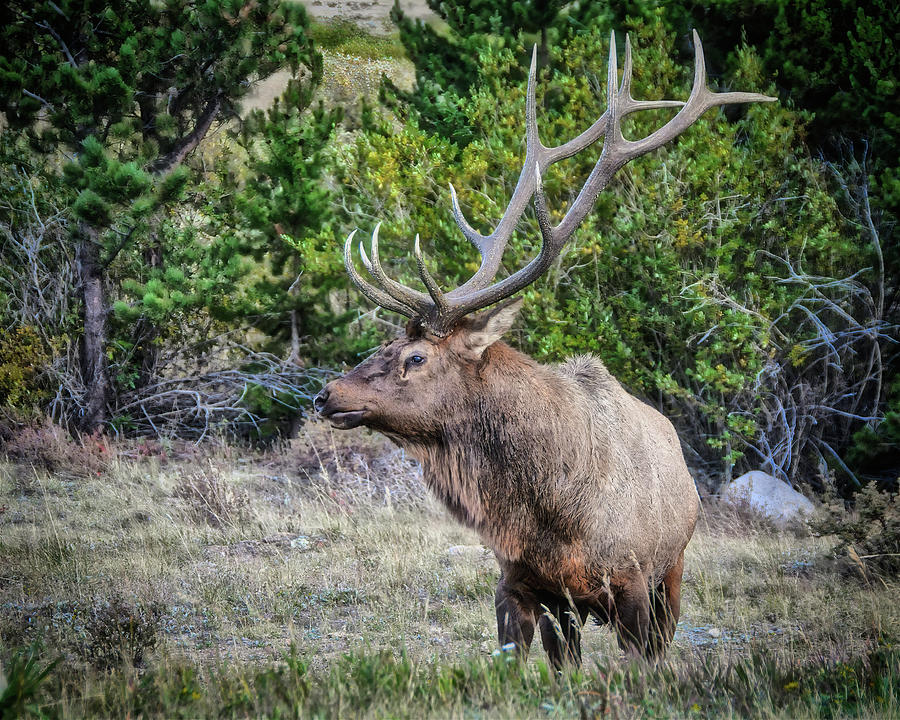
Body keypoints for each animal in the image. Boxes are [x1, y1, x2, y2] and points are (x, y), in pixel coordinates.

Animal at [314, 31, 772, 668]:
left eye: (416, 357)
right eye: (386, 343)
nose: (327, 393)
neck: (555, 514)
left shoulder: (632, 583)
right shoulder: (519, 585)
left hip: (674, 571)